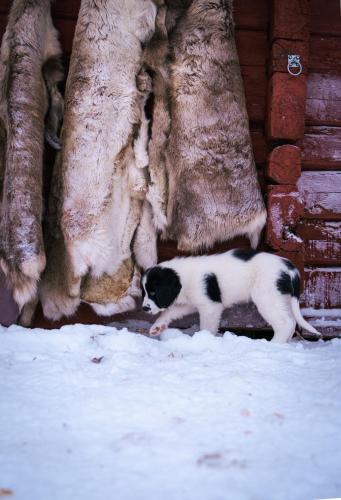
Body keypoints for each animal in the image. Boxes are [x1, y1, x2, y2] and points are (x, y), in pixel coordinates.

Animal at [140, 250, 318, 344]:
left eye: (154, 292)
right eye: (145, 292)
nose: (144, 309)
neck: (183, 276)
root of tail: (290, 268)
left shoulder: (210, 306)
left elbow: (207, 326)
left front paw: (204, 339)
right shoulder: (191, 303)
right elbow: (171, 311)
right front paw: (158, 326)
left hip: (267, 297)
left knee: (285, 322)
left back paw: (274, 344)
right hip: (280, 298)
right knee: (292, 321)